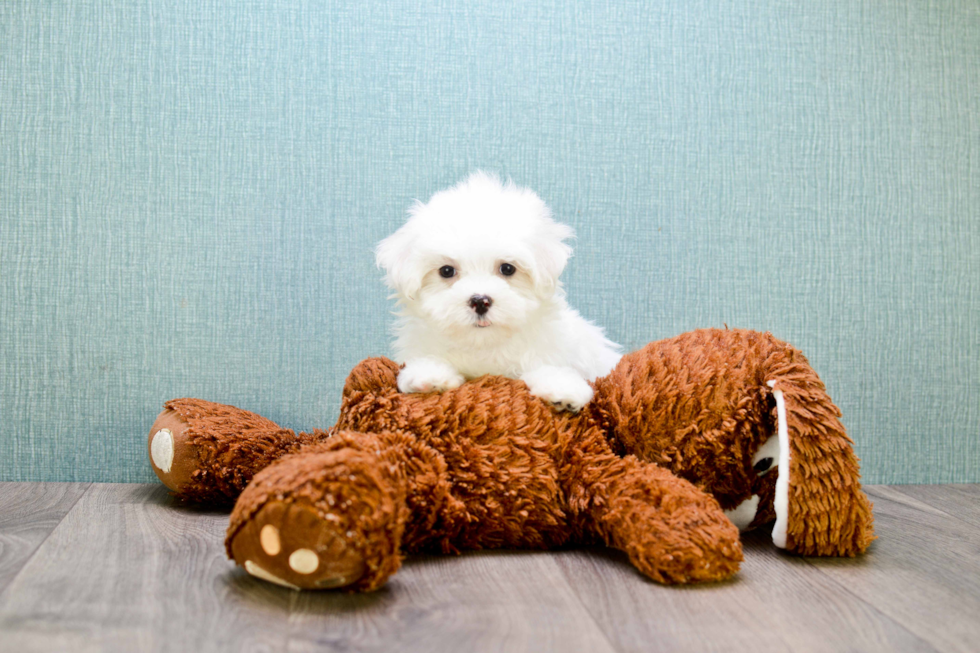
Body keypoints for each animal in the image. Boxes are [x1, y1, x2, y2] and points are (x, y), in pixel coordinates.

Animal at [376, 171, 620, 410]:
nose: (480, 301)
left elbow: (548, 366)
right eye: (446, 271)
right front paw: (429, 375)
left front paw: (562, 388)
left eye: (507, 268)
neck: (484, 345)